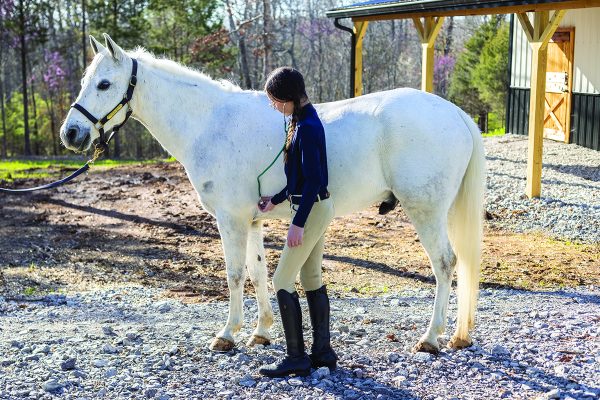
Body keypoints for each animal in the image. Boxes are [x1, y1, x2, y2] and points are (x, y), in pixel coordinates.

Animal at [61, 33, 486, 354]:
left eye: (104, 84)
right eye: (85, 80)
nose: (71, 134)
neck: (210, 123)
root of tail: (454, 113)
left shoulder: (230, 220)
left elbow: (234, 274)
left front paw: (227, 334)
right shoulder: (251, 220)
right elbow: (257, 272)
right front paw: (261, 331)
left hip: (425, 211)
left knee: (445, 264)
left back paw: (431, 338)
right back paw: (456, 335)